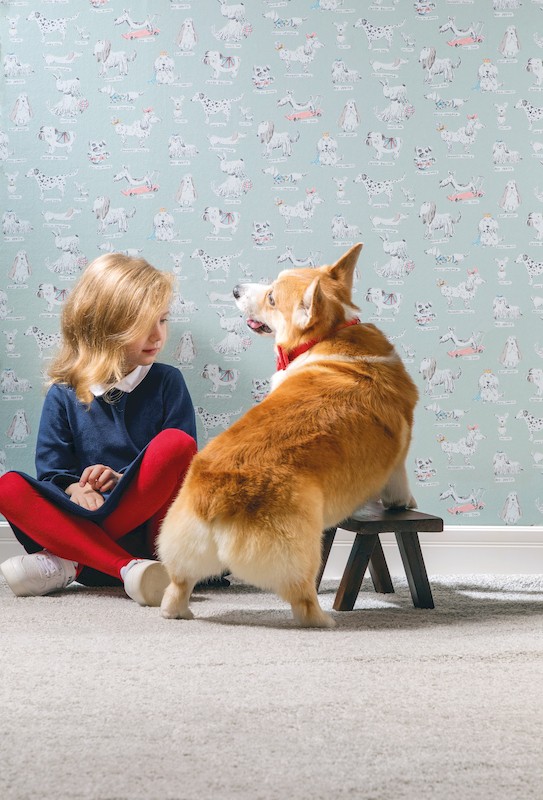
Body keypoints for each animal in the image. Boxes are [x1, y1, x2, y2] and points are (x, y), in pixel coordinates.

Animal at [157, 244, 419, 627]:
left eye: (271, 297)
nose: (234, 289)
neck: (329, 332)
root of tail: (215, 491)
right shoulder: (398, 460)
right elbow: (399, 487)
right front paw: (405, 504)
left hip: (183, 543)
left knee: (179, 582)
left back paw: (177, 611)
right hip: (301, 548)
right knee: (302, 596)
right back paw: (324, 621)